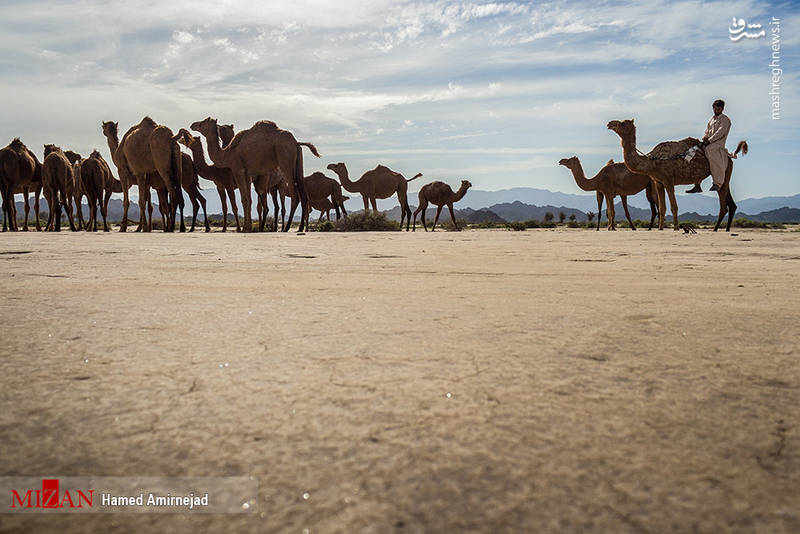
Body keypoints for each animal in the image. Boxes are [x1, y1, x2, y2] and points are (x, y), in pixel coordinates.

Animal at [608, 121, 748, 232]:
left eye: (623, 123)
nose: (610, 123)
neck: (653, 161)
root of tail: (730, 156)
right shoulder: (658, 182)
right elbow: (662, 207)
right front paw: (660, 228)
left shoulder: (669, 181)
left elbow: (674, 206)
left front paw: (675, 228)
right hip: (726, 176)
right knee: (731, 204)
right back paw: (726, 229)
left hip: (721, 170)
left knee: (723, 204)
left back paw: (715, 229)